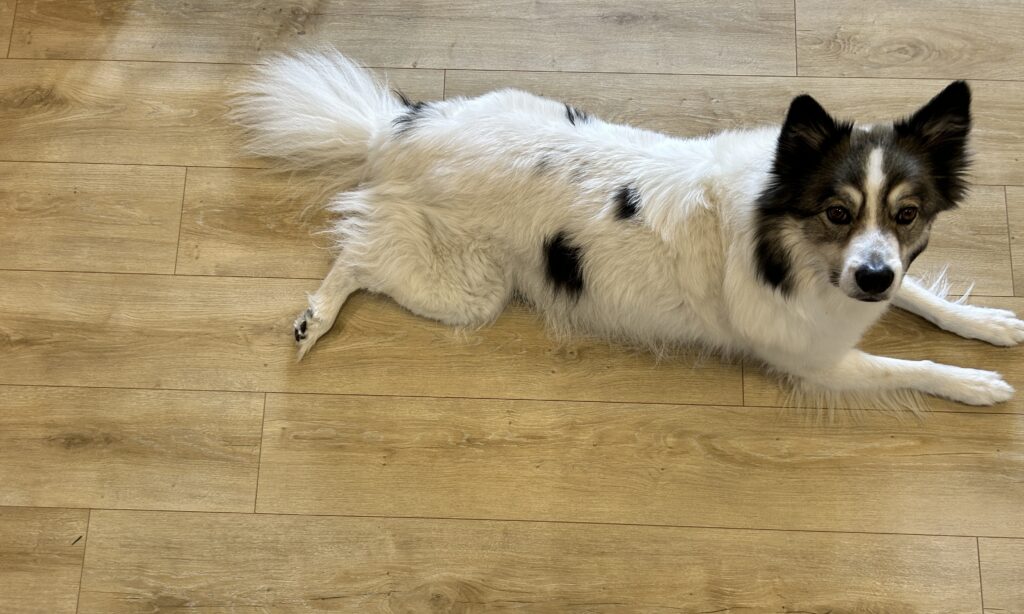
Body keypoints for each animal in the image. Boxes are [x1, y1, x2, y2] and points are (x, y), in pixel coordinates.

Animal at [234, 50, 1024, 405]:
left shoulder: (874, 278)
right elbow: (908, 366)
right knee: (357, 255)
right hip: (467, 288)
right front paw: (978, 384)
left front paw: (989, 324)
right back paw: (315, 317)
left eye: (906, 215)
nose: (871, 274)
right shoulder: (817, 361)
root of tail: (395, 132)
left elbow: (923, 295)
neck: (782, 244)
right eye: (836, 212)